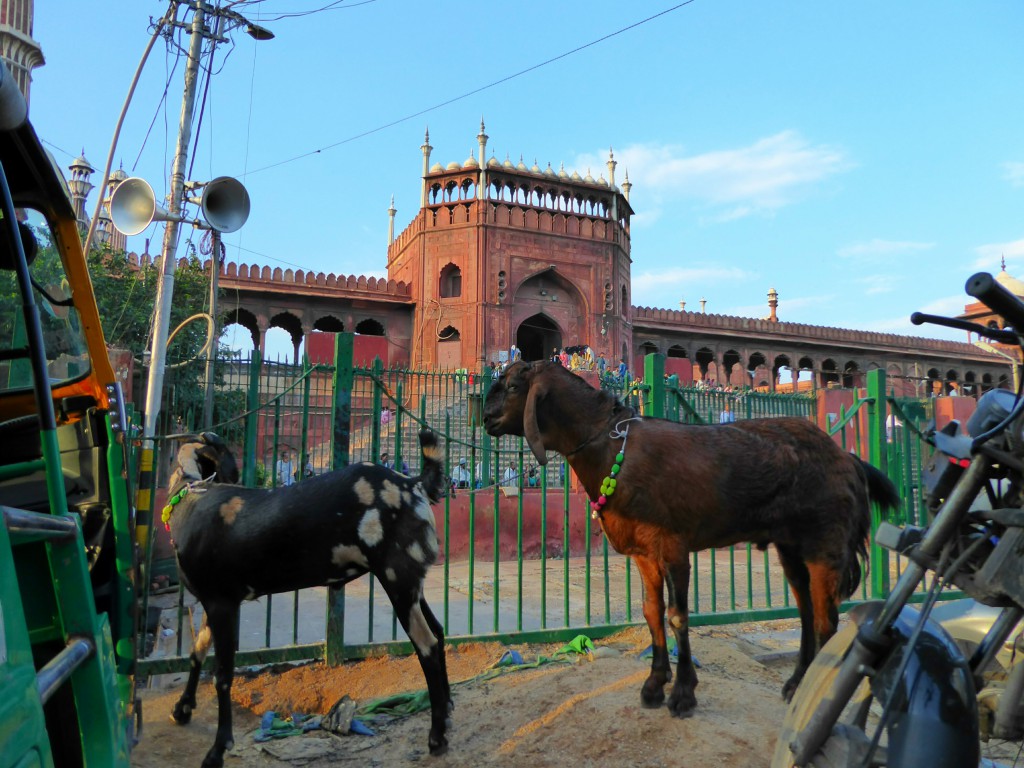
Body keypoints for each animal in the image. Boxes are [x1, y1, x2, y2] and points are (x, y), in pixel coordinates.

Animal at [164, 430, 452, 765]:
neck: (190, 497)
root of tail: (413, 484)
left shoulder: (222, 602)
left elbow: (222, 675)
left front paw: (218, 749)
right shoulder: (214, 602)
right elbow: (196, 652)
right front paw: (182, 708)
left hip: (397, 577)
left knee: (426, 644)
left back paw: (437, 737)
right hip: (410, 583)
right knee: (438, 633)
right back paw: (446, 711)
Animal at [483, 360, 892, 720]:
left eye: (514, 385)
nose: (486, 418)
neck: (616, 448)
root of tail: (849, 458)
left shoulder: (673, 547)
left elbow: (677, 615)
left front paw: (682, 694)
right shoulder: (644, 553)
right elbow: (651, 611)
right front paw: (653, 685)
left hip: (825, 541)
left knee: (826, 619)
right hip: (790, 546)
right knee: (806, 609)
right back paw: (796, 683)